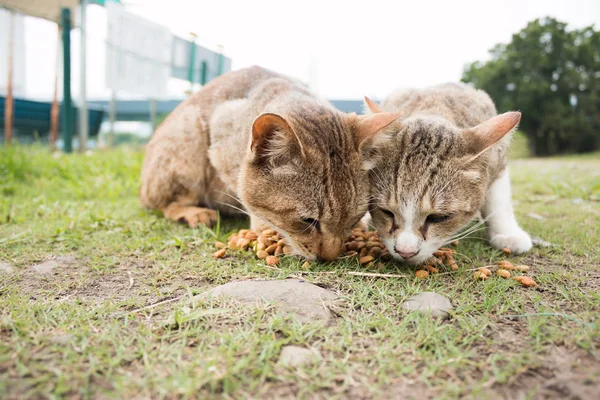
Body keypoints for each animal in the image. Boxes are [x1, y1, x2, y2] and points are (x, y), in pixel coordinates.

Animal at [141, 66, 400, 260]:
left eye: (353, 218)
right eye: (308, 221)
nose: (330, 257)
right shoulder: (219, 137)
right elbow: (245, 195)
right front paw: (263, 229)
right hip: (189, 132)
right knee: (163, 203)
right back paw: (193, 212)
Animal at [364, 83, 532, 264]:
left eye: (438, 217)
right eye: (386, 212)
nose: (405, 251)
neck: (436, 107)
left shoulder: (498, 163)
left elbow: (499, 200)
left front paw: (507, 232)